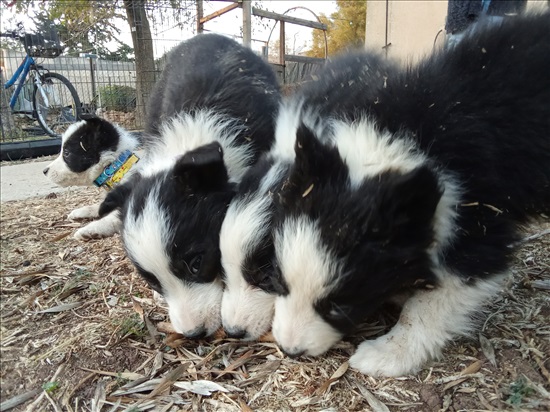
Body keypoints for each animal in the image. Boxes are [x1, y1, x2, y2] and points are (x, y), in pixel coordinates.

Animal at [266, 12, 548, 376]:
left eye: (340, 306)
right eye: (279, 280)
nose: (290, 350)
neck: (415, 134)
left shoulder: (479, 212)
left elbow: (447, 287)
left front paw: (387, 352)